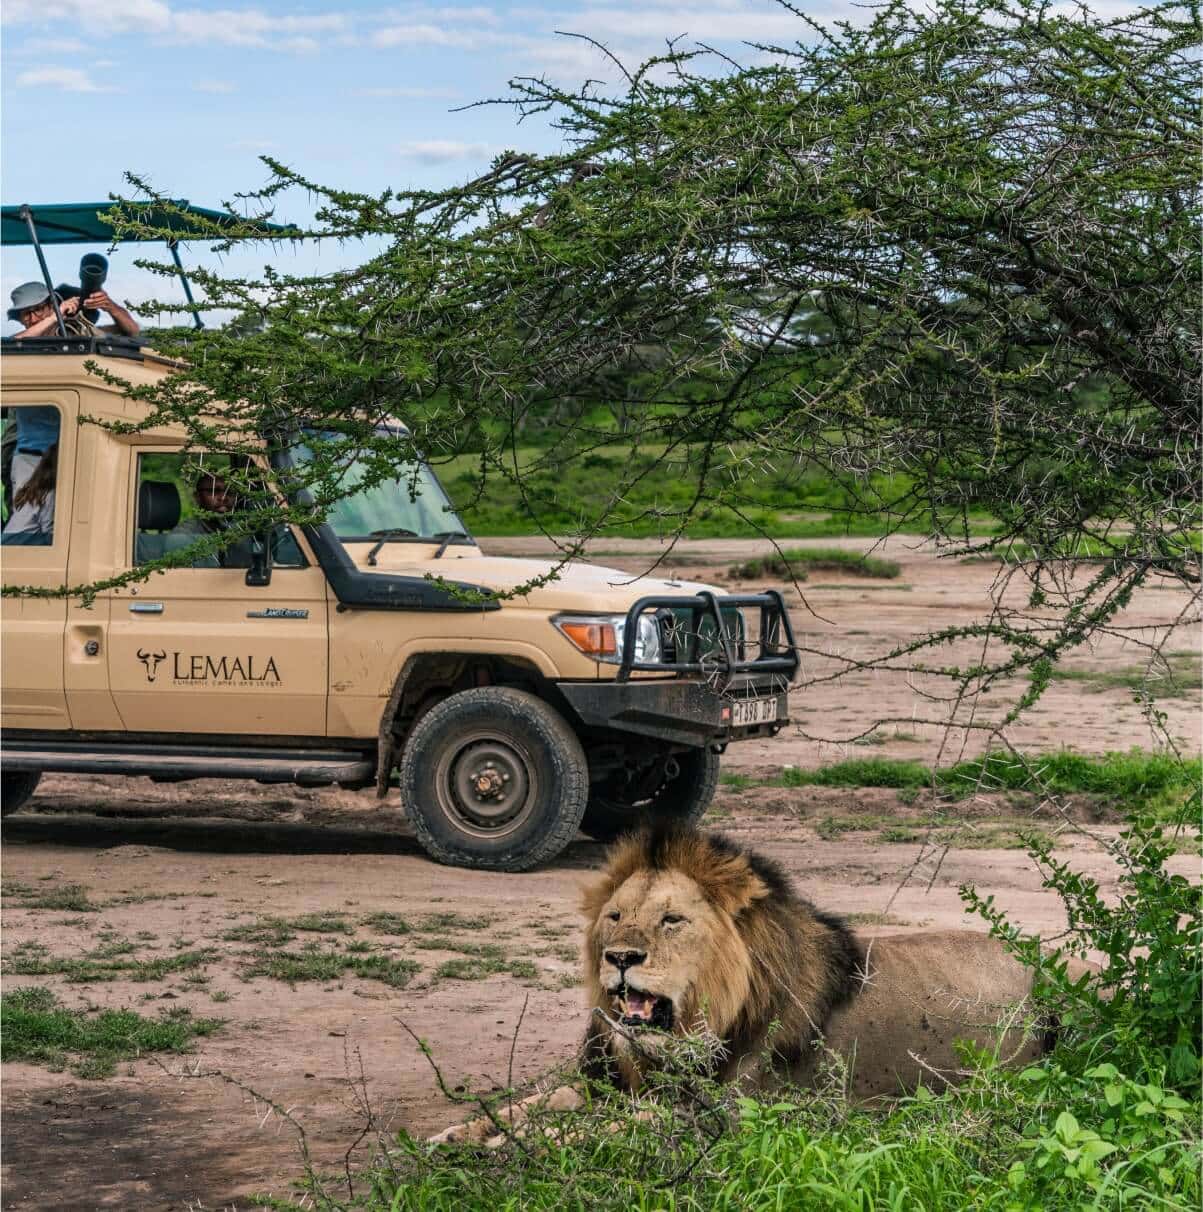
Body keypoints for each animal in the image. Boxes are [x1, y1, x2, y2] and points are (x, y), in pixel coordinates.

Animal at [426, 824, 1066, 1144]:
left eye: (671, 920)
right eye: (615, 916)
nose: (621, 957)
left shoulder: (728, 1111)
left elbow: (604, 1127)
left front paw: (518, 1146)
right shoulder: (609, 1083)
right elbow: (534, 1104)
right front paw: (459, 1134)